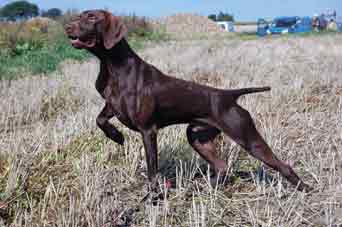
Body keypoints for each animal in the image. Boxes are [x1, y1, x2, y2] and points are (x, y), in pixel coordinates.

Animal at [65, 9, 312, 192]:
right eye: (80, 15)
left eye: (92, 17)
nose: (67, 27)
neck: (113, 66)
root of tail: (228, 95)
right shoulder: (112, 106)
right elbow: (100, 120)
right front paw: (116, 136)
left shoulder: (148, 130)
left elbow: (152, 170)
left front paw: (153, 197)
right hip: (197, 136)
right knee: (222, 167)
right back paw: (206, 188)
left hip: (247, 137)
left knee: (283, 165)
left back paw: (305, 189)